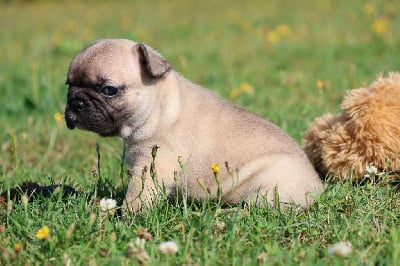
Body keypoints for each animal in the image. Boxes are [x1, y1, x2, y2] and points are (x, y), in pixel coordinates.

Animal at [64, 38, 324, 212]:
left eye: (109, 90)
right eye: (68, 85)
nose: (76, 102)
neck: (159, 107)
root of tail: (318, 186)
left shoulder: (152, 165)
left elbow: (137, 197)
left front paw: (126, 217)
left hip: (269, 187)